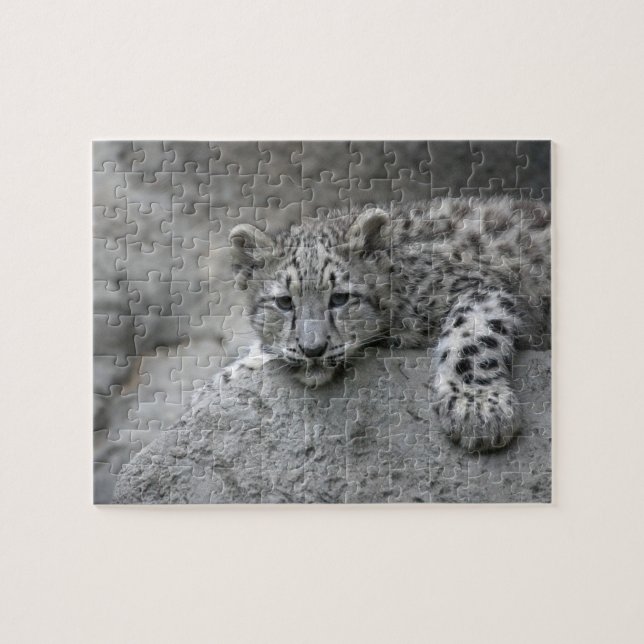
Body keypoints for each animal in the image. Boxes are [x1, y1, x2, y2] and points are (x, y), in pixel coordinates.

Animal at [227, 196, 551, 452]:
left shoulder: (482, 289)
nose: (313, 349)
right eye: (284, 302)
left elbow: (471, 336)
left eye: (340, 298)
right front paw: (239, 367)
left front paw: (478, 410)